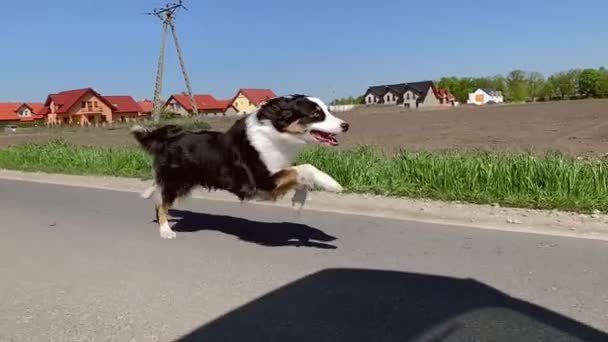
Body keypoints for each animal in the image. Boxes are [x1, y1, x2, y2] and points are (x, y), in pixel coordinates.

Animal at [132, 93, 352, 238]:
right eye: (315, 114)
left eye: (327, 110)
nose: (346, 125)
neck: (277, 136)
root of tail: (167, 137)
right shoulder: (263, 182)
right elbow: (304, 168)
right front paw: (332, 183)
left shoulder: (276, 176)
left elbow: (299, 175)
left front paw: (298, 202)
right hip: (176, 182)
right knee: (161, 203)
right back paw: (166, 231)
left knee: (158, 199)